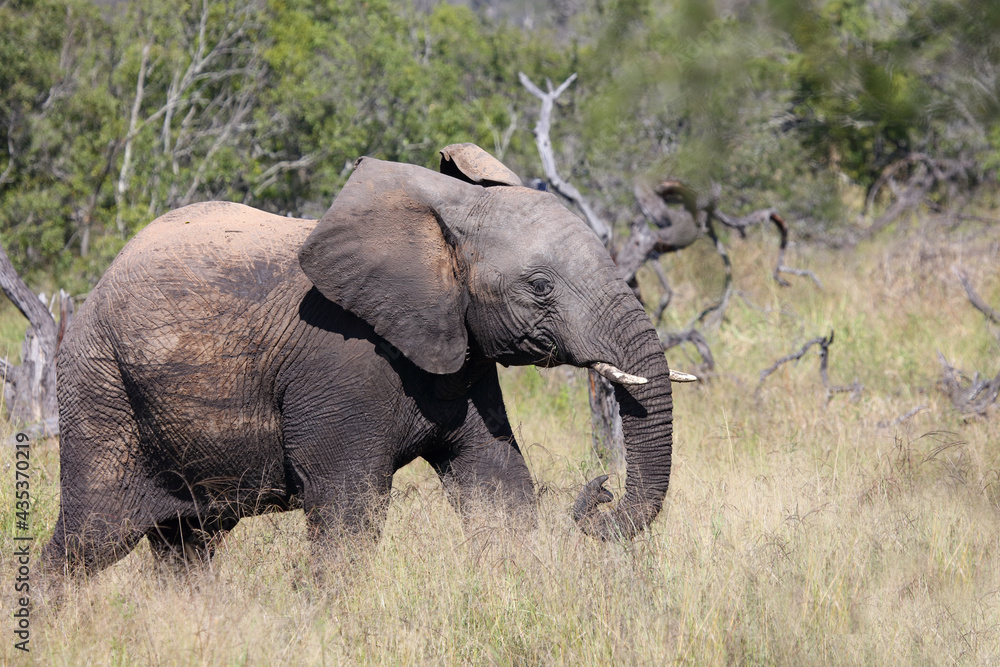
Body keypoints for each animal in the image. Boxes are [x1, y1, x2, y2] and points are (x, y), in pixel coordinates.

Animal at [42, 143, 681, 576]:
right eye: (541, 286)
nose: (601, 488)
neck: (441, 218)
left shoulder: (462, 352)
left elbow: (497, 483)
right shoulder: (342, 360)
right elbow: (348, 504)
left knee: (187, 544)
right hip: (101, 388)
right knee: (90, 538)